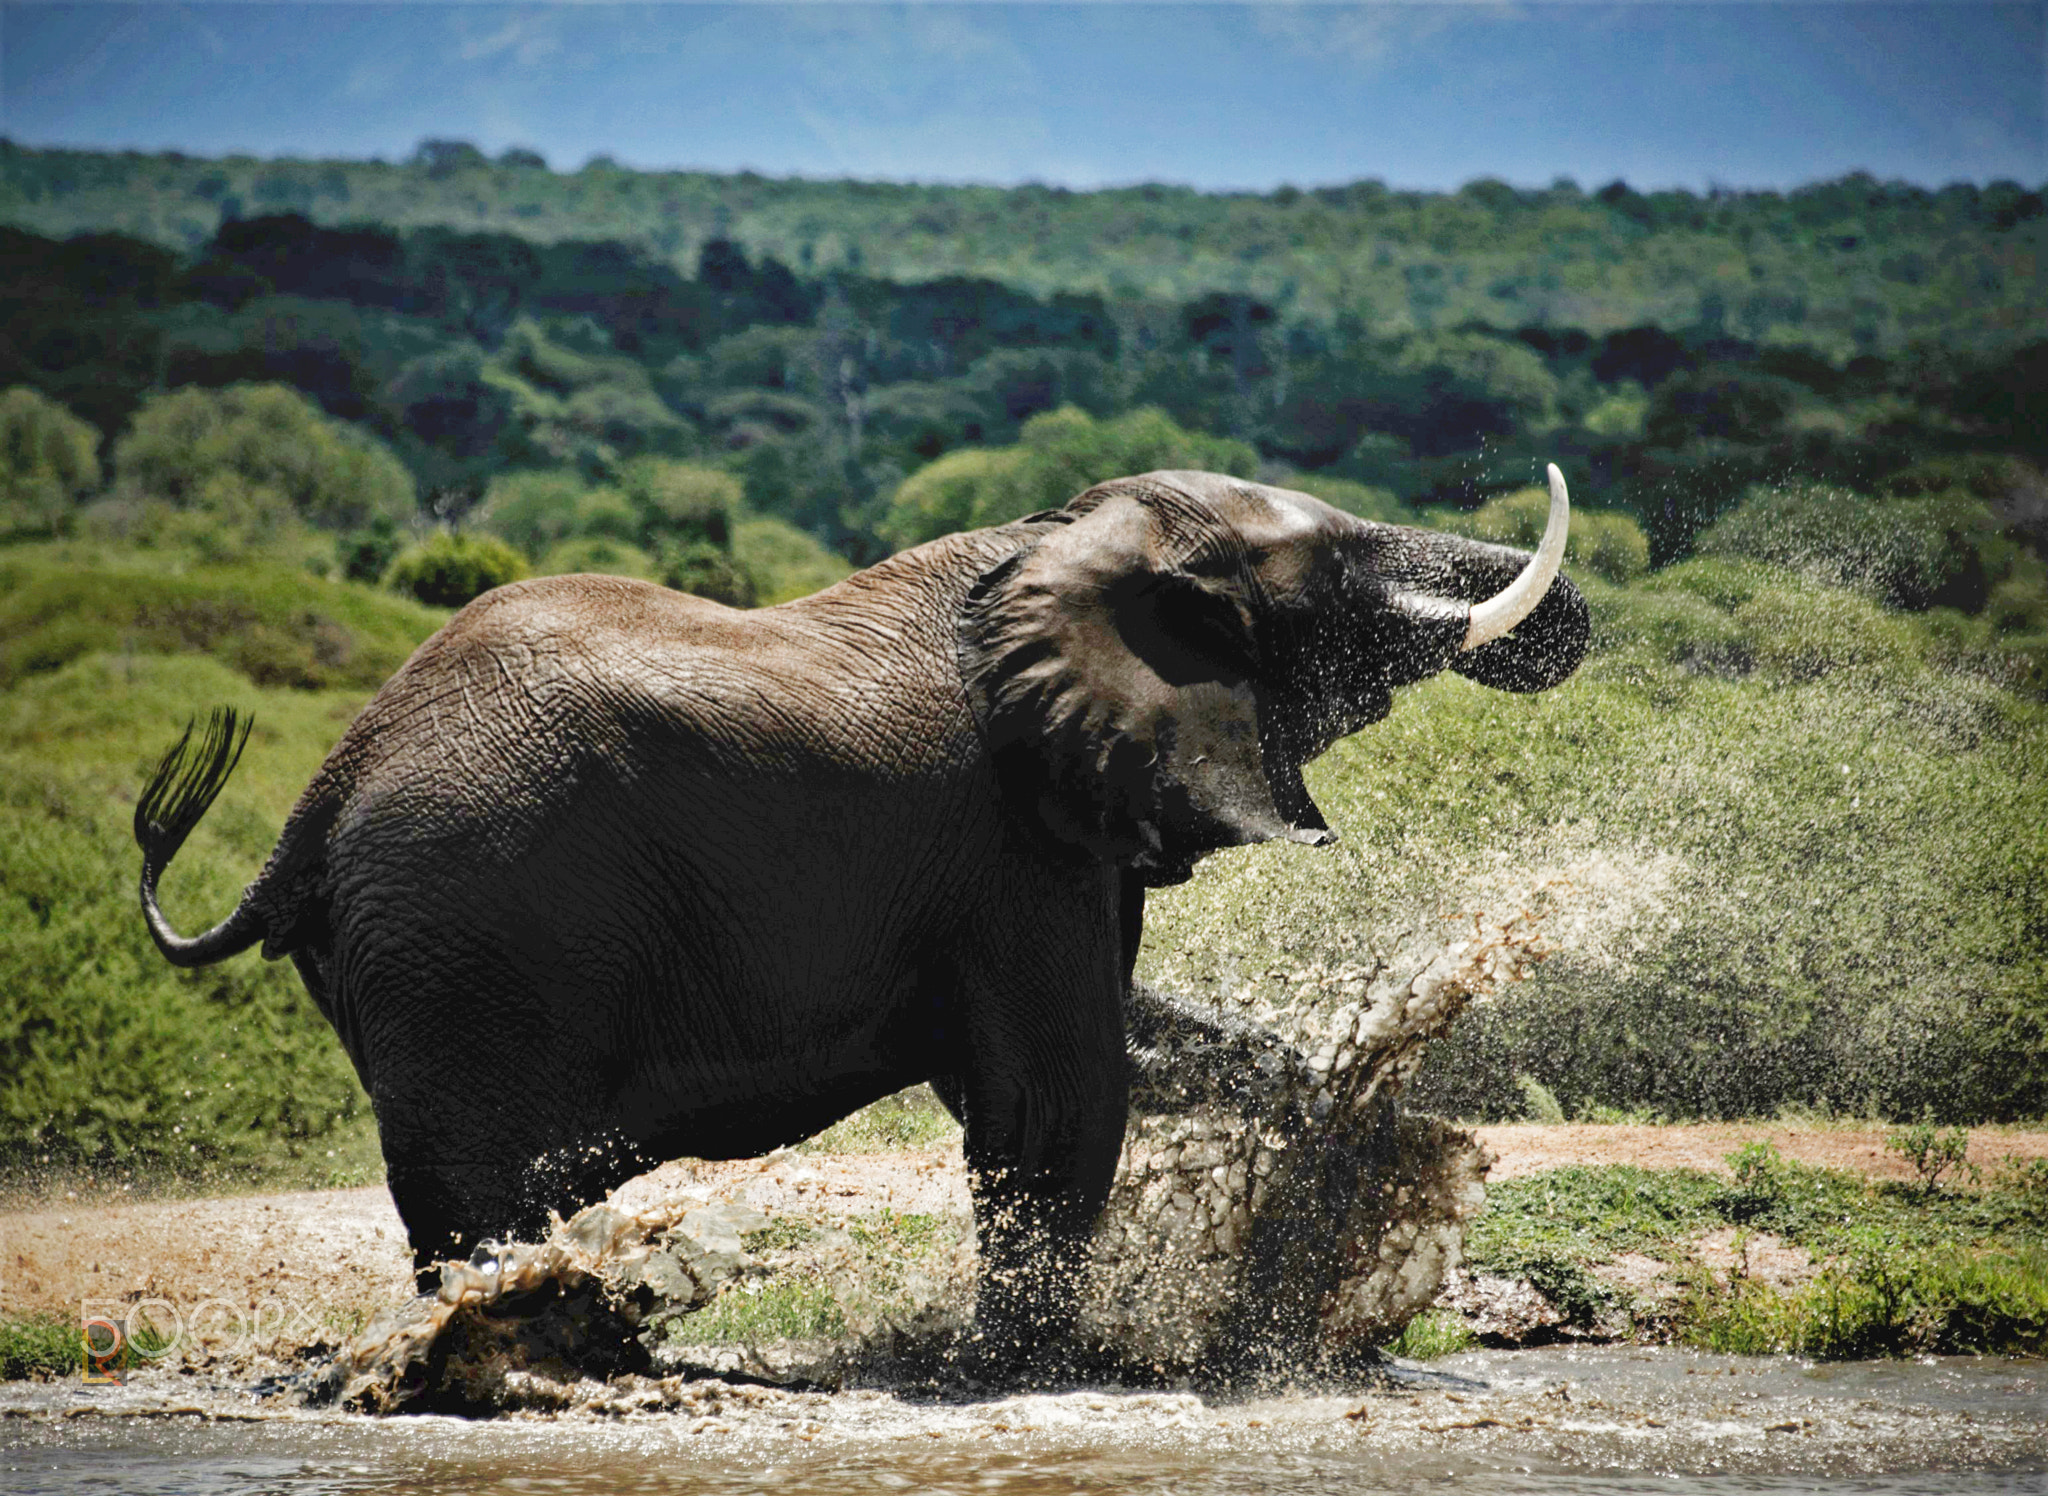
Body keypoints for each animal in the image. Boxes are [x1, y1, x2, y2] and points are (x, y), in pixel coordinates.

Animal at [136, 464, 1587, 1368]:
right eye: (1331, 564)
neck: (1059, 537)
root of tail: (322, 792)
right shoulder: (1004, 838)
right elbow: (1058, 1096)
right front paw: (1033, 1366)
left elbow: (1122, 1046)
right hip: (470, 931)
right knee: (482, 1196)